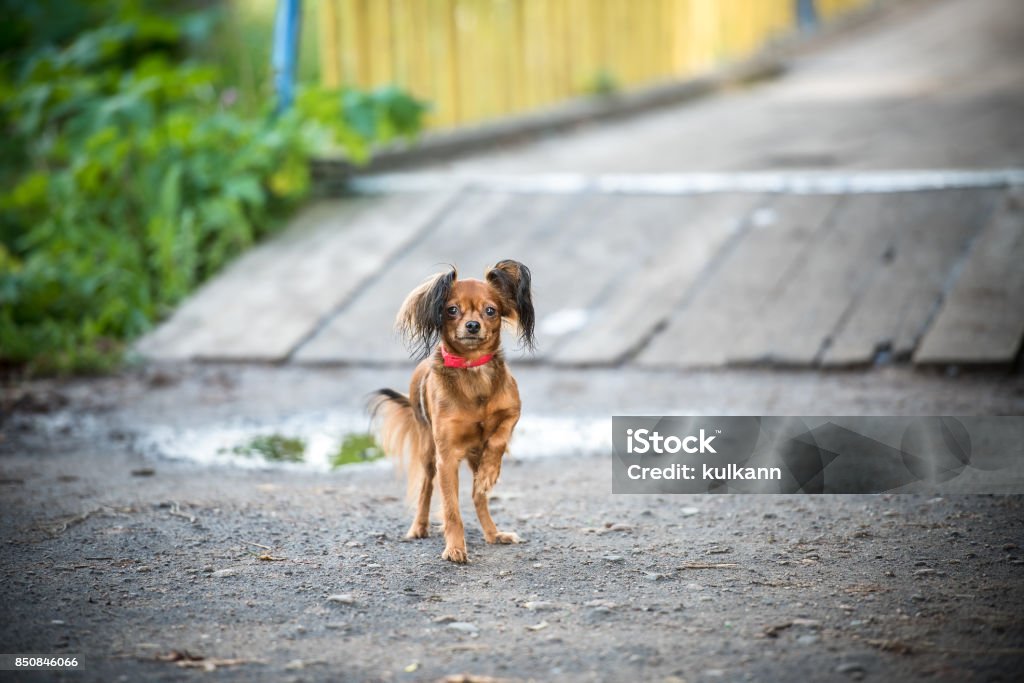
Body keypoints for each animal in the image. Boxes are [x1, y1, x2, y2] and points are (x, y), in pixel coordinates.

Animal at [374, 259, 536, 565]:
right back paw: (418, 527)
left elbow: (498, 439)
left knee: (478, 497)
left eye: (490, 310)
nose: (472, 325)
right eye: (451, 309)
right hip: (428, 453)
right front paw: (455, 548)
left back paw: (493, 533)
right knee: (426, 488)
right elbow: (451, 509)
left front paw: (491, 471)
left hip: (471, 457)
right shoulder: (446, 458)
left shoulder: (513, 412)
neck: (472, 368)